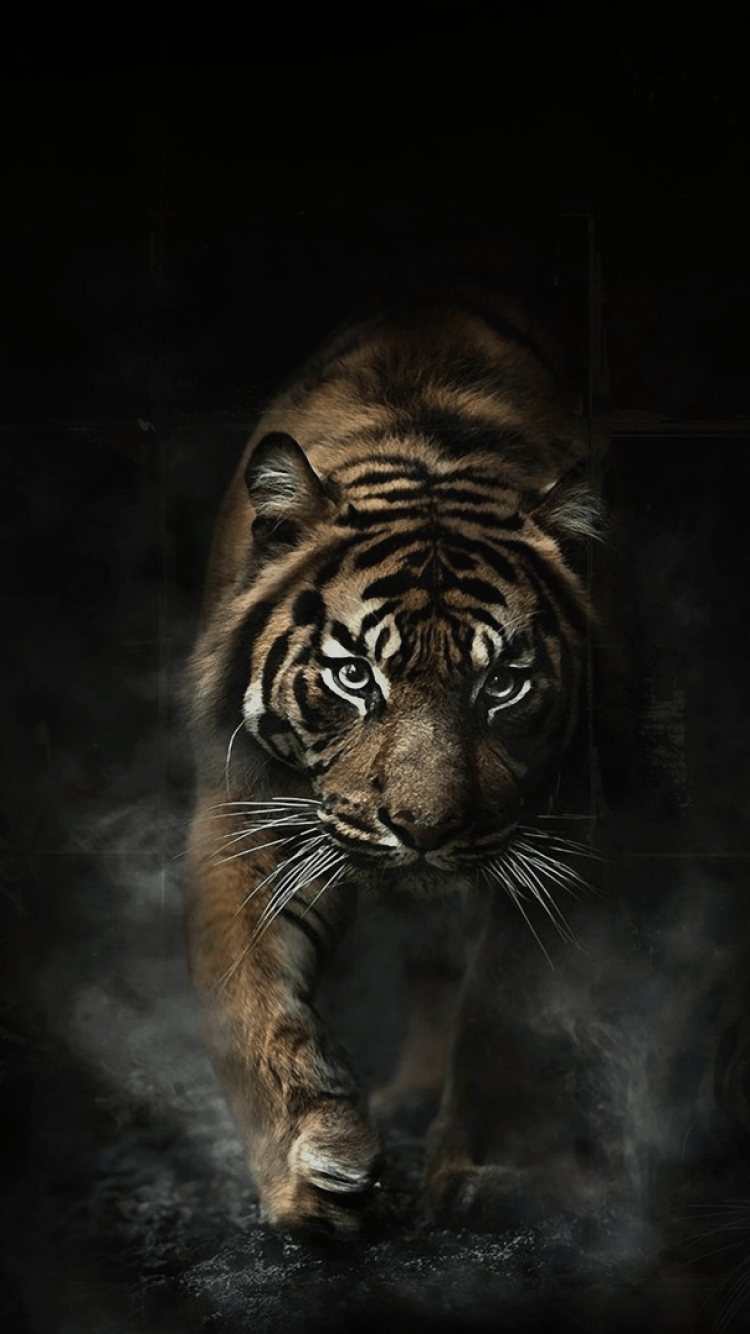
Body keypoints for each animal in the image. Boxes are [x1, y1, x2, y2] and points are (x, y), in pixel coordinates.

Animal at [184, 286, 611, 1237]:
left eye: (502, 684)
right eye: (354, 675)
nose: (422, 828)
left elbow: (500, 1012)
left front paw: (481, 1175)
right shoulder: (250, 812)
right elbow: (250, 1002)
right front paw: (311, 1169)